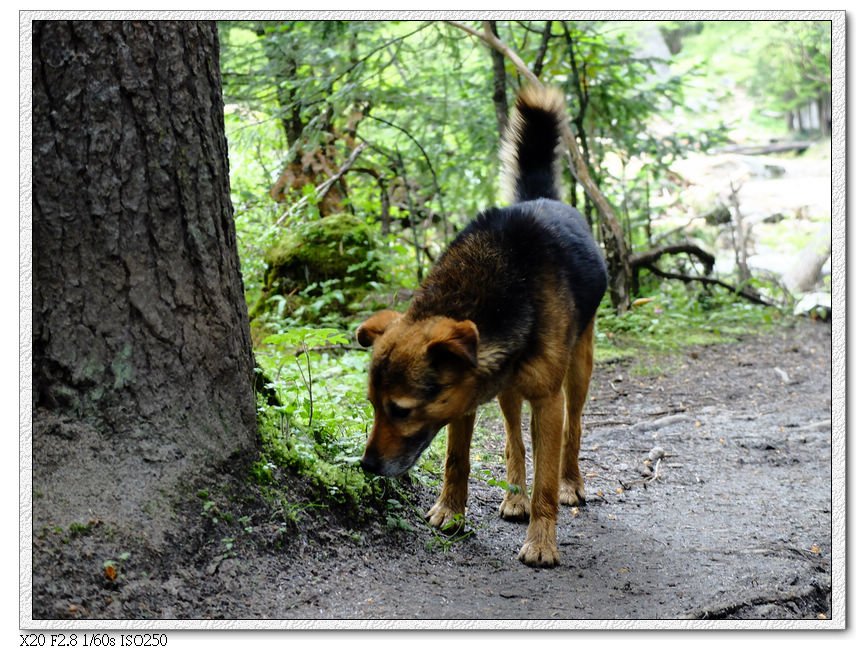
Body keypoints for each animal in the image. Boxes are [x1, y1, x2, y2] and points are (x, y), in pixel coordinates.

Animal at [354, 87, 604, 568]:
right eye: (373, 405)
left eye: (402, 410)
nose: (368, 467)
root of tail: (542, 197)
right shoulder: (464, 396)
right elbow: (457, 460)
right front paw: (450, 511)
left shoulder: (547, 400)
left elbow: (546, 478)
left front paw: (542, 540)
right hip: (509, 391)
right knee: (513, 439)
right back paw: (514, 495)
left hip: (578, 369)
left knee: (574, 430)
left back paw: (570, 482)